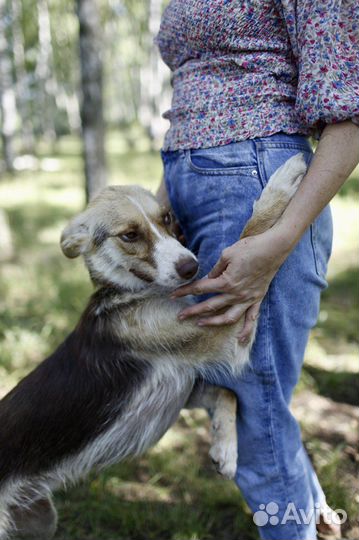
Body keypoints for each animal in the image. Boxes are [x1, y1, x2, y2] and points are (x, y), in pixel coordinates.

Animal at [0, 154, 306, 536]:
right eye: (130, 235)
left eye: (166, 218)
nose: (191, 267)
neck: (132, 293)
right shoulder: (220, 332)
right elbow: (253, 231)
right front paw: (282, 183)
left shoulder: (185, 385)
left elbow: (227, 394)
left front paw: (225, 449)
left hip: (40, 519)